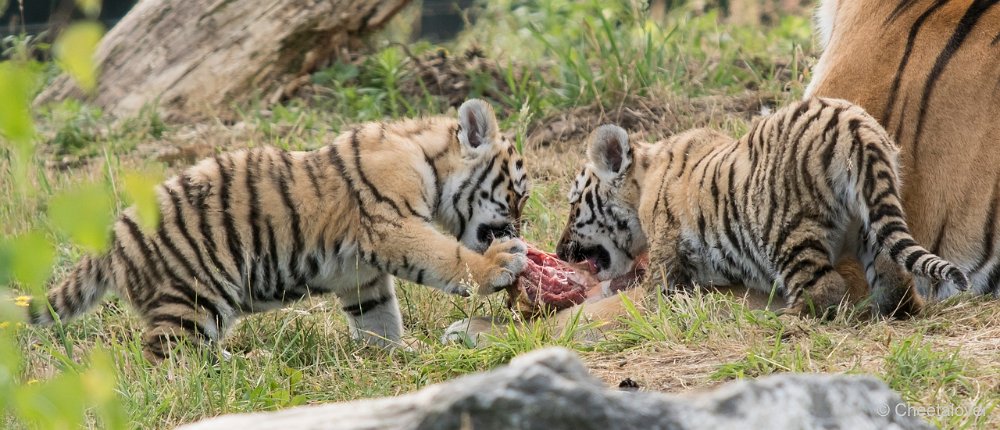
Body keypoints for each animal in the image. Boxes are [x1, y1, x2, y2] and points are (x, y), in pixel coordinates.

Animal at [25, 99, 532, 362]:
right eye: (518, 194)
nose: (522, 229)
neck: (428, 161)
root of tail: (112, 241)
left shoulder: (361, 273)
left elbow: (378, 318)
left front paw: (400, 353)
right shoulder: (391, 226)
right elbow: (449, 257)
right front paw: (500, 264)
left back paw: (244, 363)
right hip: (193, 294)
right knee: (164, 354)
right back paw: (231, 370)